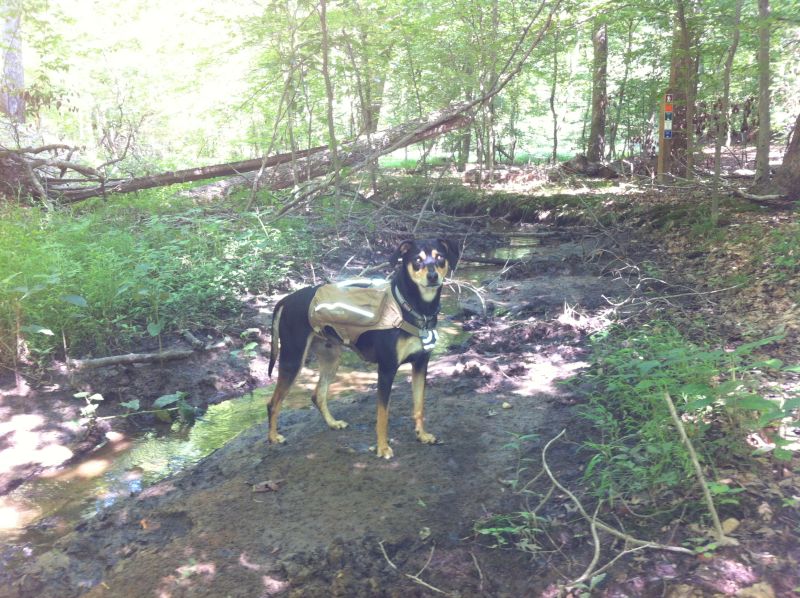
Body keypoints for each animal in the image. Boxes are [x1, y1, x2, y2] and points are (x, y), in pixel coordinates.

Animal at [268, 239, 460, 460]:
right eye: (417, 260)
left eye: (440, 258)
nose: (432, 276)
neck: (413, 307)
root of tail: (287, 299)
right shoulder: (386, 369)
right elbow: (382, 414)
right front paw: (382, 448)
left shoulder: (421, 364)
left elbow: (419, 405)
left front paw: (422, 435)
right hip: (293, 358)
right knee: (273, 403)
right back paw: (273, 437)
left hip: (331, 357)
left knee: (318, 395)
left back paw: (333, 423)